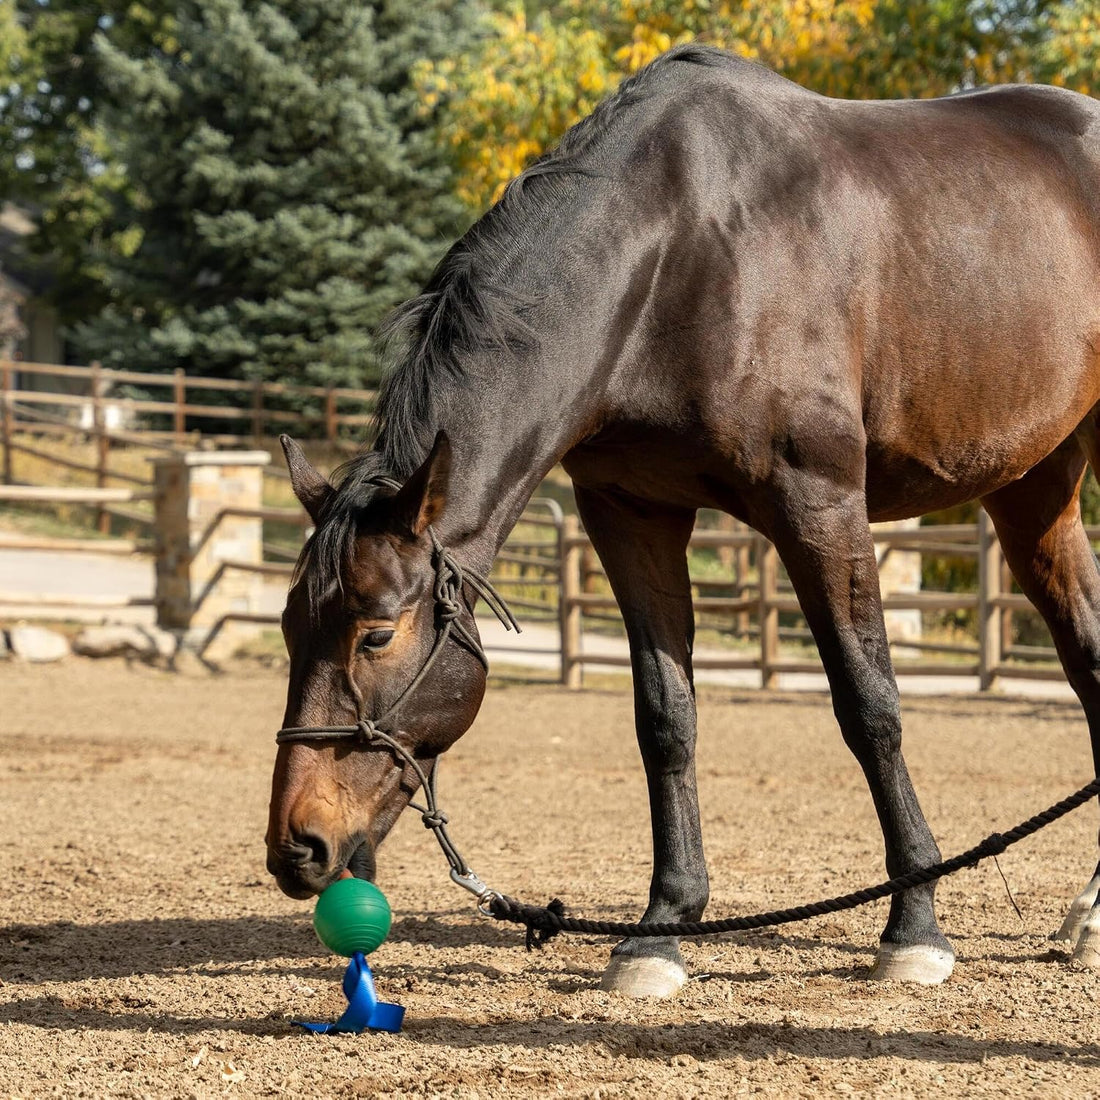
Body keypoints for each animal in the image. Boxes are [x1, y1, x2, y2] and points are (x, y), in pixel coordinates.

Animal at [266, 43, 1100, 998]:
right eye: (290, 627)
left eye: (375, 635)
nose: (296, 846)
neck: (678, 254)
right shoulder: (633, 514)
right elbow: (665, 717)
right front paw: (661, 929)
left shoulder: (820, 505)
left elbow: (869, 706)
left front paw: (914, 926)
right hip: (1033, 488)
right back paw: (1088, 915)